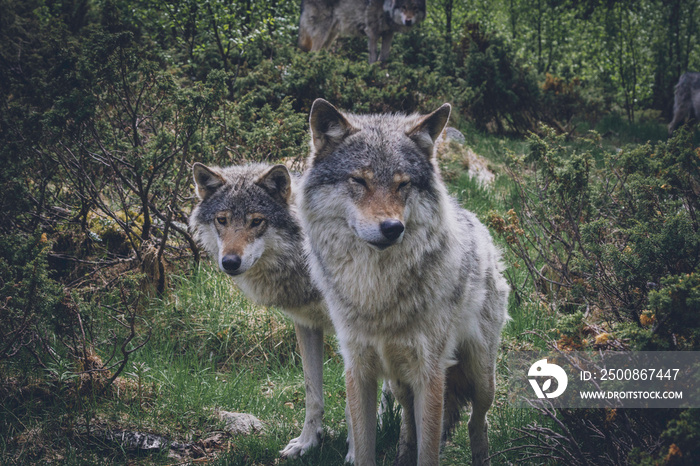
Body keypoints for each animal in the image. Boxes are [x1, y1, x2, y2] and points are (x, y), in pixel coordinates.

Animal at [189, 164, 334, 458]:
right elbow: (312, 394)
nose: (230, 262)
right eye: (222, 220)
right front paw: (307, 443)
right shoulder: (308, 324)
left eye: (256, 221)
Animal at [296, 0, 424, 63]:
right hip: (323, 32)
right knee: (313, 52)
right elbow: (373, 55)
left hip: (332, 34)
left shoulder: (388, 33)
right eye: (404, 7)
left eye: (415, 8)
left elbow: (384, 56)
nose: (408, 21)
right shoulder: (372, 32)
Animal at [298, 100, 512, 464]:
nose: (392, 228)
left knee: (477, 420)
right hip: (399, 383)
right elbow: (365, 446)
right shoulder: (359, 369)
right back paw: (401, 452)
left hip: (481, 376)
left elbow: (429, 451)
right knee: (408, 420)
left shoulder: (431, 373)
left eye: (403, 184)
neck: (377, 292)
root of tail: (479, 225)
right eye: (359, 180)